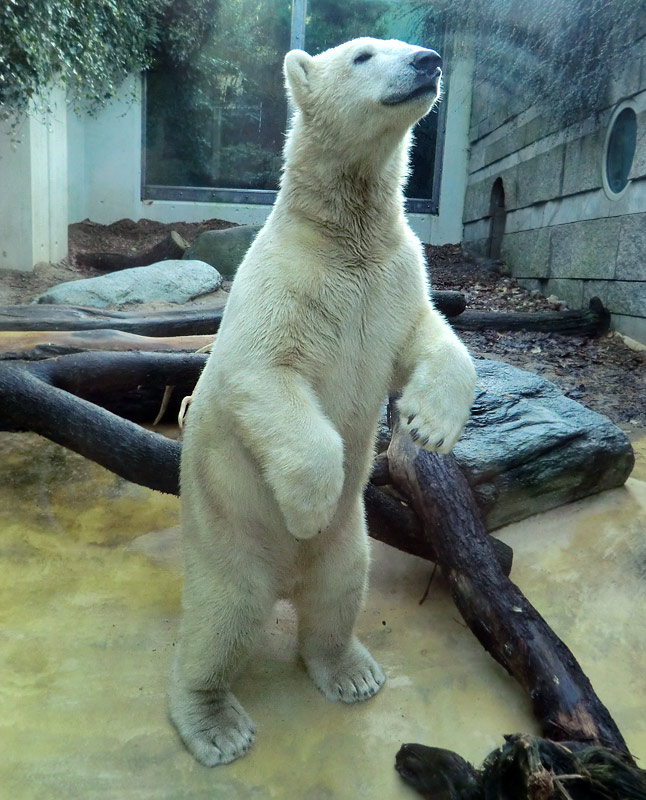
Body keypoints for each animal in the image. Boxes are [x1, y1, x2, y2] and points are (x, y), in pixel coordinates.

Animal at [170, 36, 478, 764]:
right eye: (364, 54)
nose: (428, 60)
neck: (343, 235)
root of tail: (285, 582)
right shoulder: (280, 287)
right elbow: (264, 375)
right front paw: (308, 507)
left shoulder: (395, 276)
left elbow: (428, 336)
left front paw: (430, 425)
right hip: (228, 537)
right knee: (222, 617)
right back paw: (216, 722)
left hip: (351, 544)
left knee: (339, 592)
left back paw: (351, 670)